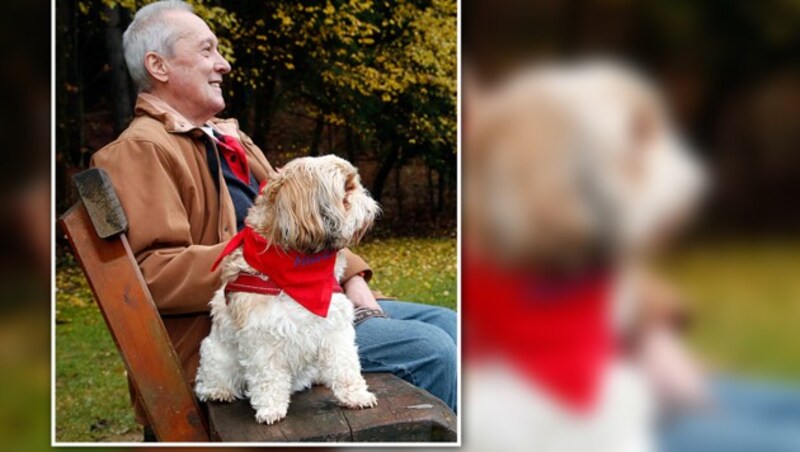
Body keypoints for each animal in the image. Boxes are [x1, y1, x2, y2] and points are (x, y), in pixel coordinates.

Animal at [195, 154, 382, 424]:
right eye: (347, 190)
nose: (371, 205)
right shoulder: (261, 339)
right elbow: (268, 378)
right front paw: (270, 408)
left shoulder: (335, 329)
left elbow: (345, 366)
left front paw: (356, 396)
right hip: (215, 355)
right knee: (211, 378)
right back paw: (218, 391)